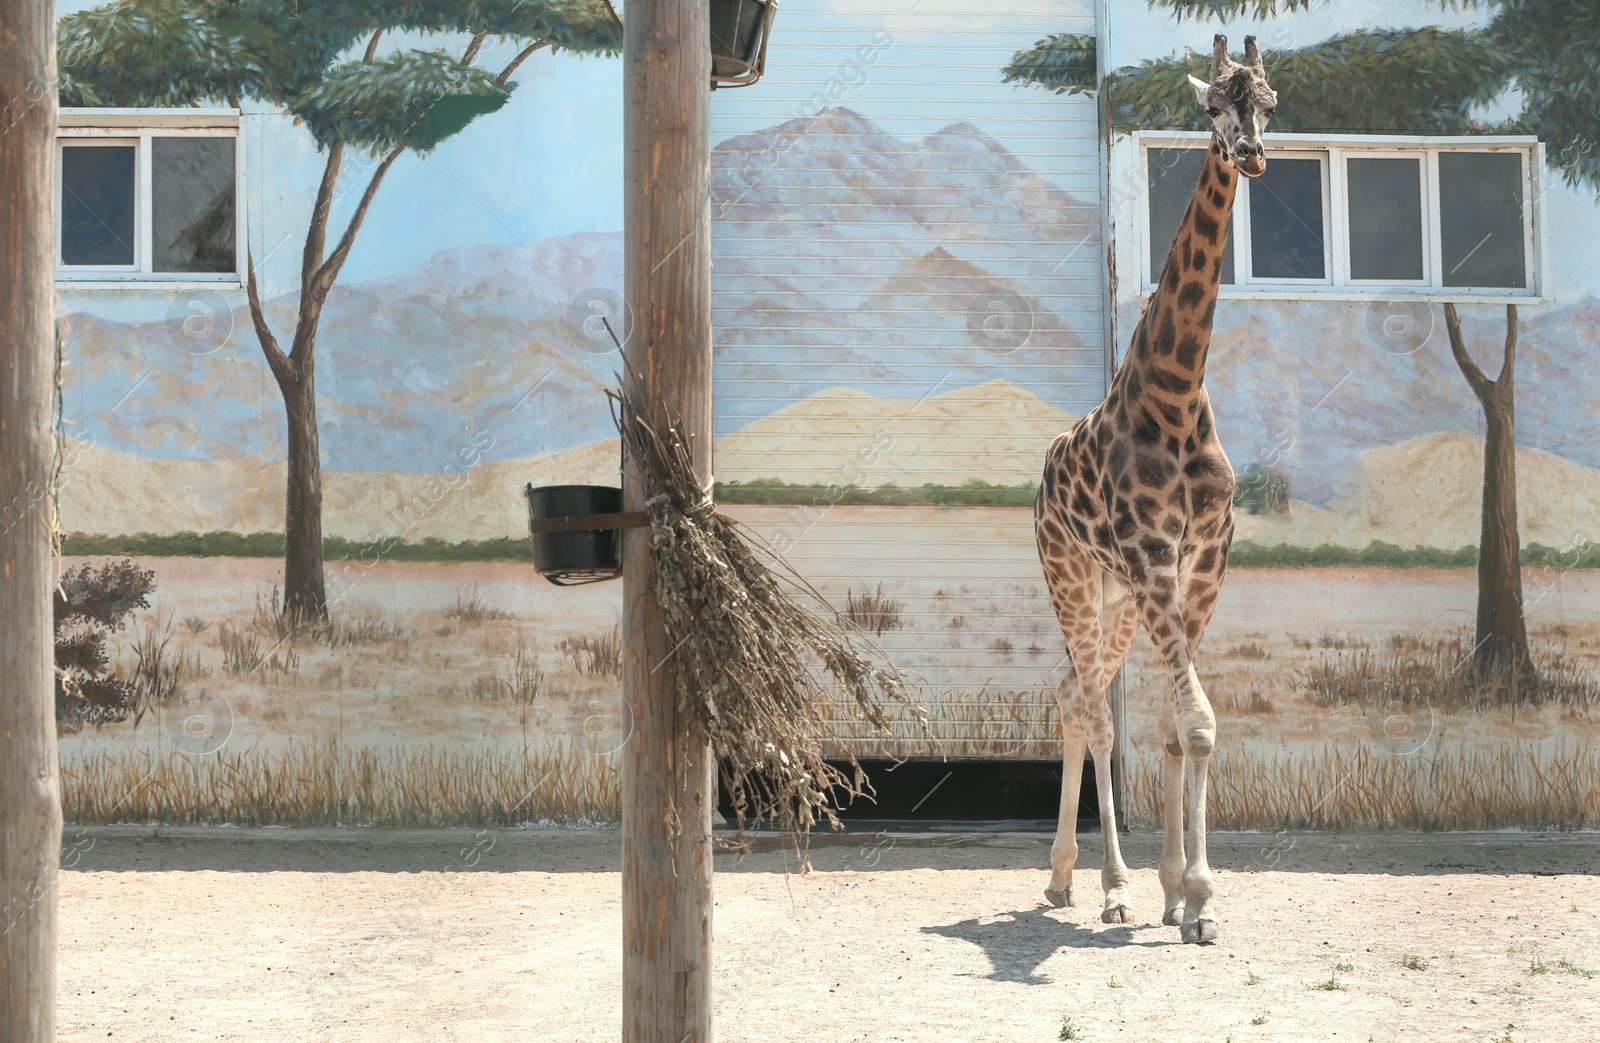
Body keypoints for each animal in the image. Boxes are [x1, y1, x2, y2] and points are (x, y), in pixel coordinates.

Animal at [1033, 34, 1277, 945]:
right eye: (1211, 105)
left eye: (1267, 99)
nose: (1252, 153)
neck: (1174, 390)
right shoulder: (1153, 554)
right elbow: (1194, 719)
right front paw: (1191, 894)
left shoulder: (1202, 557)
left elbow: (1180, 724)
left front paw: (1183, 891)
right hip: (1073, 574)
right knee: (1091, 708)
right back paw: (1104, 882)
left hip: (1119, 595)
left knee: (1076, 692)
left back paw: (1066, 878)